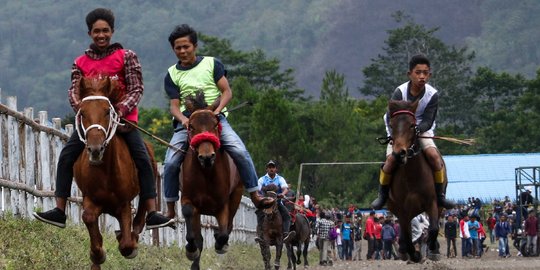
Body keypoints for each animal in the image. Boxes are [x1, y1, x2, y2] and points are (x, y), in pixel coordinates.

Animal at [73, 76, 150, 270]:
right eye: (82, 113)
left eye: (108, 112)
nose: (95, 149)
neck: (105, 172)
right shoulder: (91, 199)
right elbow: (88, 218)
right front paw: (98, 254)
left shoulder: (123, 204)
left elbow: (127, 245)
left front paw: (128, 243)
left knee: (143, 210)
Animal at [180, 92, 244, 270]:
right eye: (191, 126)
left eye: (215, 124)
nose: (207, 157)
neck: (206, 173)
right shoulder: (189, 199)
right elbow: (190, 217)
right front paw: (191, 249)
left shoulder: (222, 205)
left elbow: (223, 233)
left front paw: (220, 244)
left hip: (237, 193)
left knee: (228, 226)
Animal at [388, 99, 442, 262]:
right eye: (391, 125)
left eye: (412, 125)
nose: (399, 154)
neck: (412, 175)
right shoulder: (402, 209)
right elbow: (406, 234)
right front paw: (413, 254)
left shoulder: (431, 202)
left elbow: (434, 228)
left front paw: (433, 248)